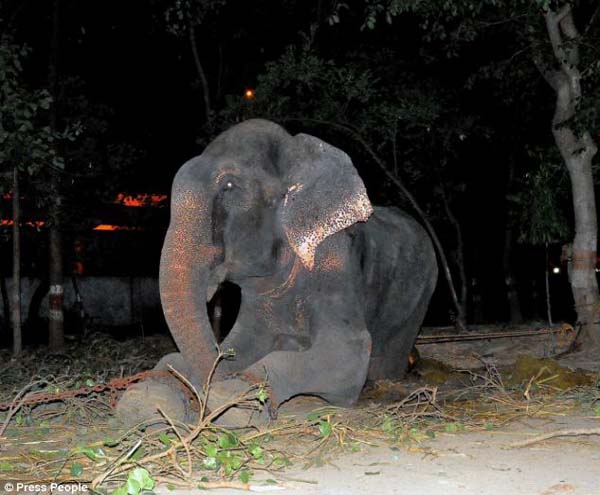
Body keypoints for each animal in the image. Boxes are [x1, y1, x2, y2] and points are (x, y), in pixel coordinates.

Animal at [116, 119, 436, 426]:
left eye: (229, 186)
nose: (199, 401)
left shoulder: (334, 259)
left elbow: (348, 351)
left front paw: (234, 400)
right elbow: (238, 344)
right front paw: (146, 399)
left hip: (422, 293)